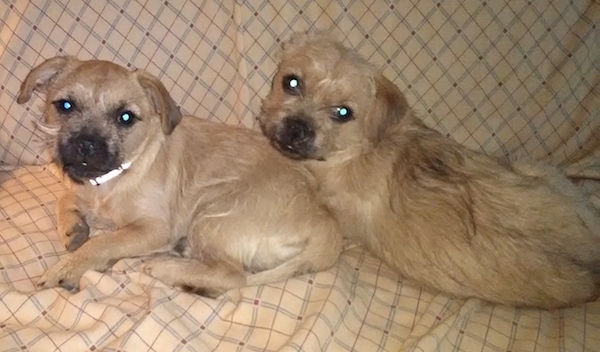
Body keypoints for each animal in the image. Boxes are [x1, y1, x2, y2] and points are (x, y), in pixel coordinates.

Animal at [17, 55, 342, 296]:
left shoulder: (153, 229)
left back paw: (165, 269)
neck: (115, 179)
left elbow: (102, 243)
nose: (87, 144)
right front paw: (72, 228)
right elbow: (65, 198)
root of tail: (326, 226)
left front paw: (67, 268)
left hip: (213, 211)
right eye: (65, 105)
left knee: (233, 276)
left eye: (125, 117)